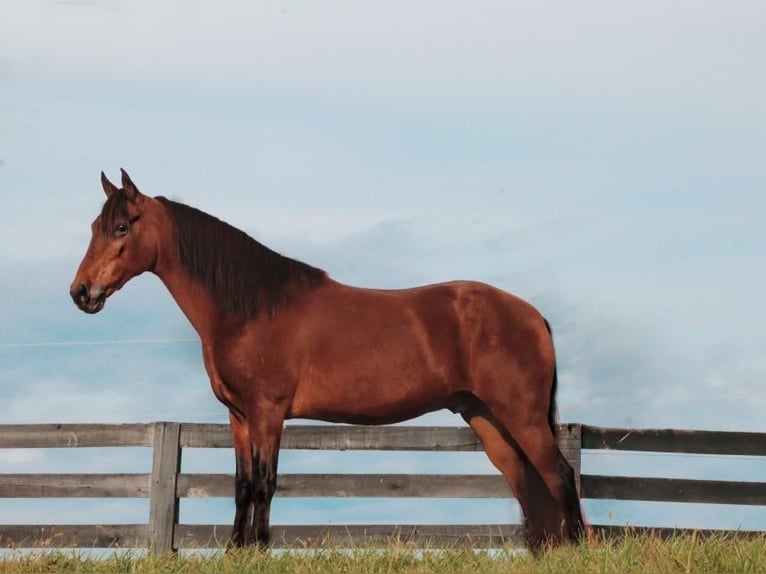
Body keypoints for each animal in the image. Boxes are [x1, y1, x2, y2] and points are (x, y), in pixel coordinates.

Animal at [73, 170, 588, 552]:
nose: (81, 292)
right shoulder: (239, 416)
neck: (252, 309)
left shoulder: (268, 413)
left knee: (560, 477)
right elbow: (241, 484)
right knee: (527, 484)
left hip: (521, 417)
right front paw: (236, 551)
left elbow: (265, 482)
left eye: (122, 227)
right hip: (487, 419)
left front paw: (258, 550)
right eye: (95, 227)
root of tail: (533, 315)